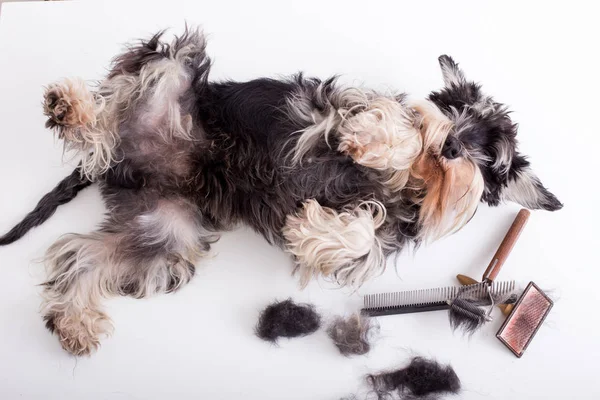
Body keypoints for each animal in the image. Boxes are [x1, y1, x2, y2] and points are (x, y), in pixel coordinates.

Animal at [0, 28, 564, 354]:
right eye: (457, 111)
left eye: (490, 160)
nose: (450, 146)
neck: (415, 185)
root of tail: (124, 162)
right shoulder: (346, 111)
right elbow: (399, 130)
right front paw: (386, 146)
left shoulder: (376, 245)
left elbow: (359, 236)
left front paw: (310, 228)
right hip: (174, 66)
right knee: (114, 103)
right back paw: (72, 109)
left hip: (164, 235)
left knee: (81, 257)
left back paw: (73, 324)